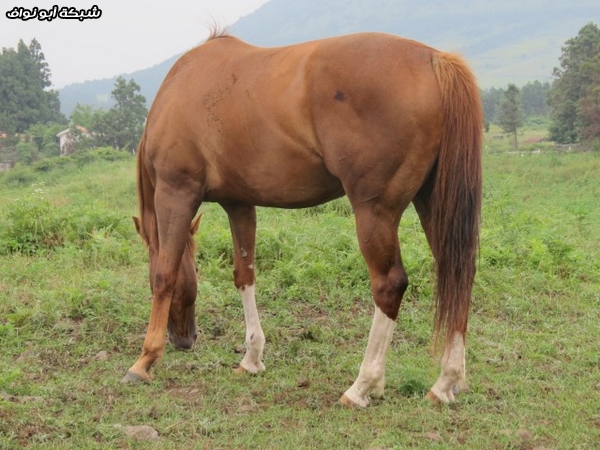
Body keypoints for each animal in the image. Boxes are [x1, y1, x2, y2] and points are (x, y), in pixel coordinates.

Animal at [123, 29, 482, 406]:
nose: (185, 340)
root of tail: (433, 59)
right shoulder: (239, 203)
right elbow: (244, 275)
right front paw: (252, 358)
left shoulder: (176, 193)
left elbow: (165, 273)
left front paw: (144, 360)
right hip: (433, 202)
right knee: (458, 272)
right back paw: (445, 383)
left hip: (375, 211)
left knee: (389, 285)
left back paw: (362, 385)